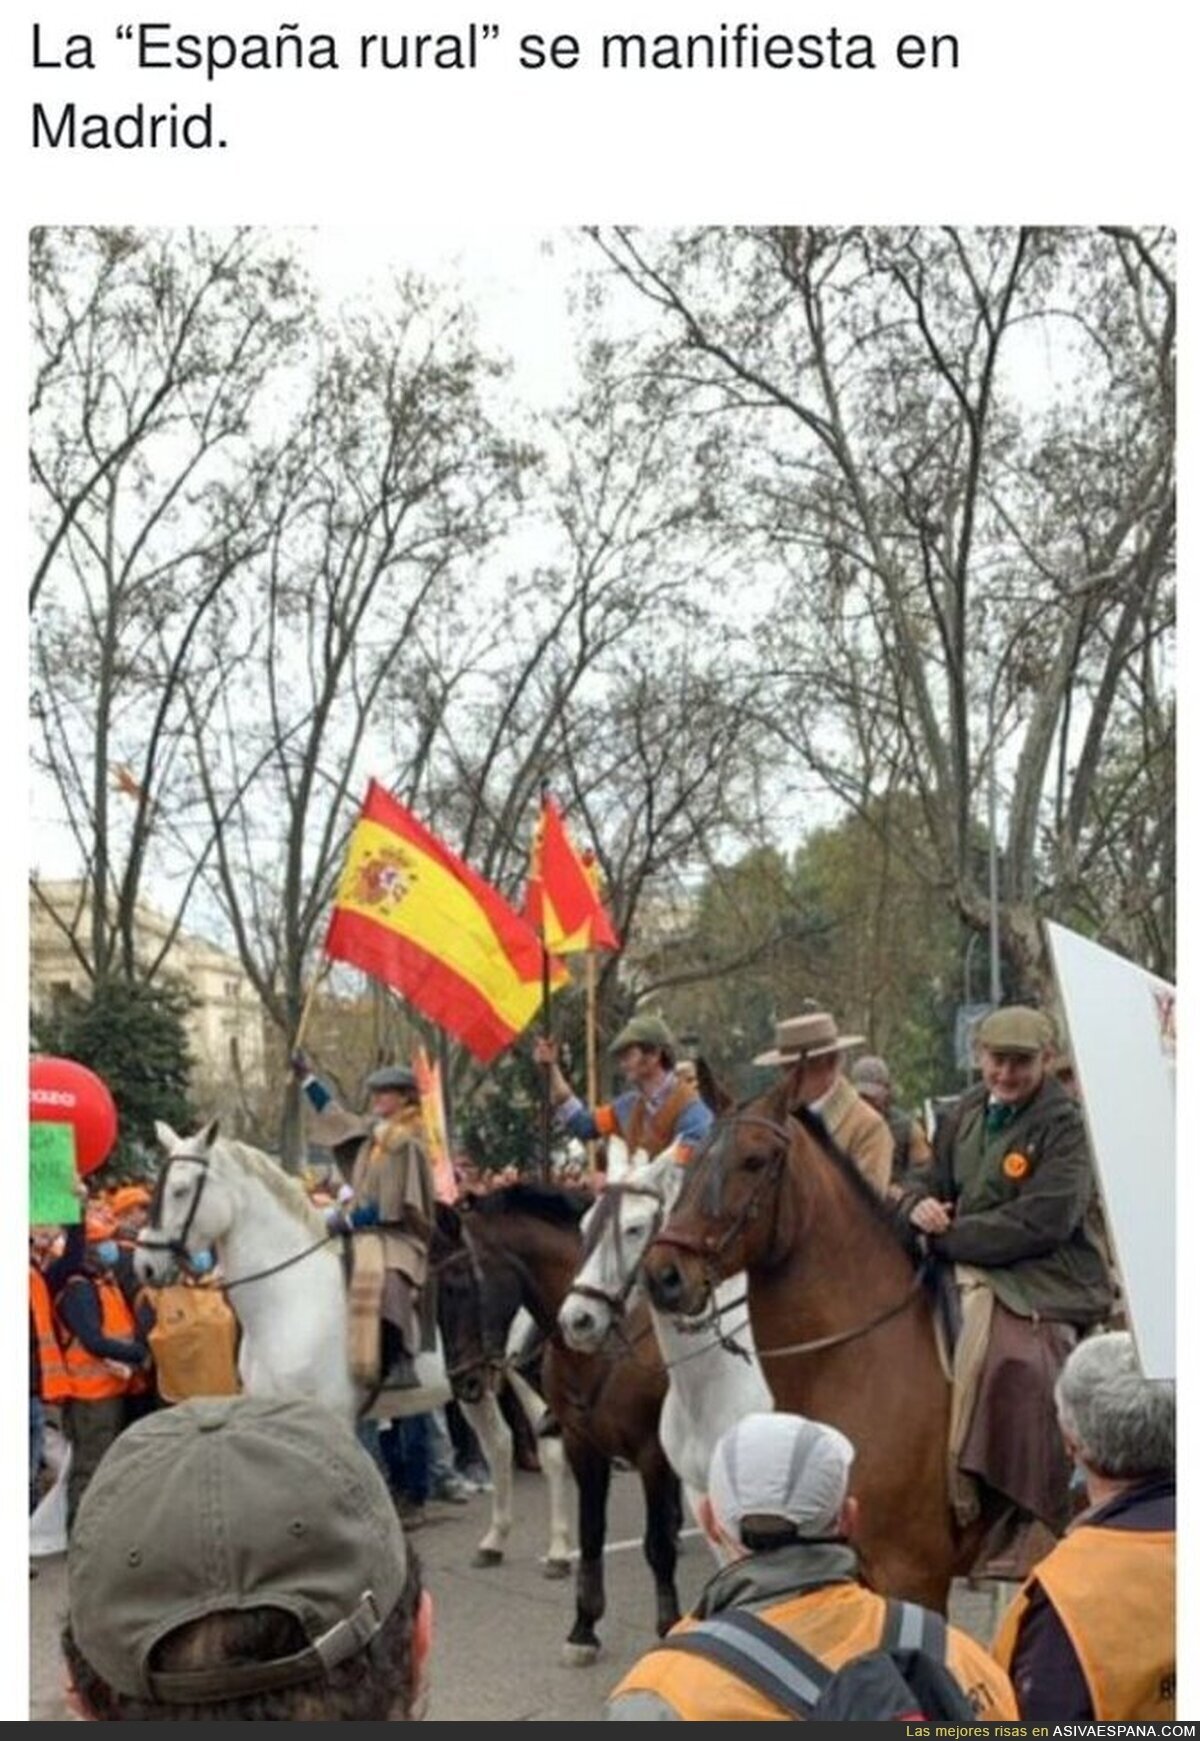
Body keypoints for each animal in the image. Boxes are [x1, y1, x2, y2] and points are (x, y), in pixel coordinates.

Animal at [440, 1183, 682, 1657]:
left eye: (463, 1286)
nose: (464, 1383)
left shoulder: (651, 1452)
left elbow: (657, 1544)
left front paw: (669, 1625)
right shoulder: (582, 1444)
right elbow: (590, 1533)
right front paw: (583, 1626)